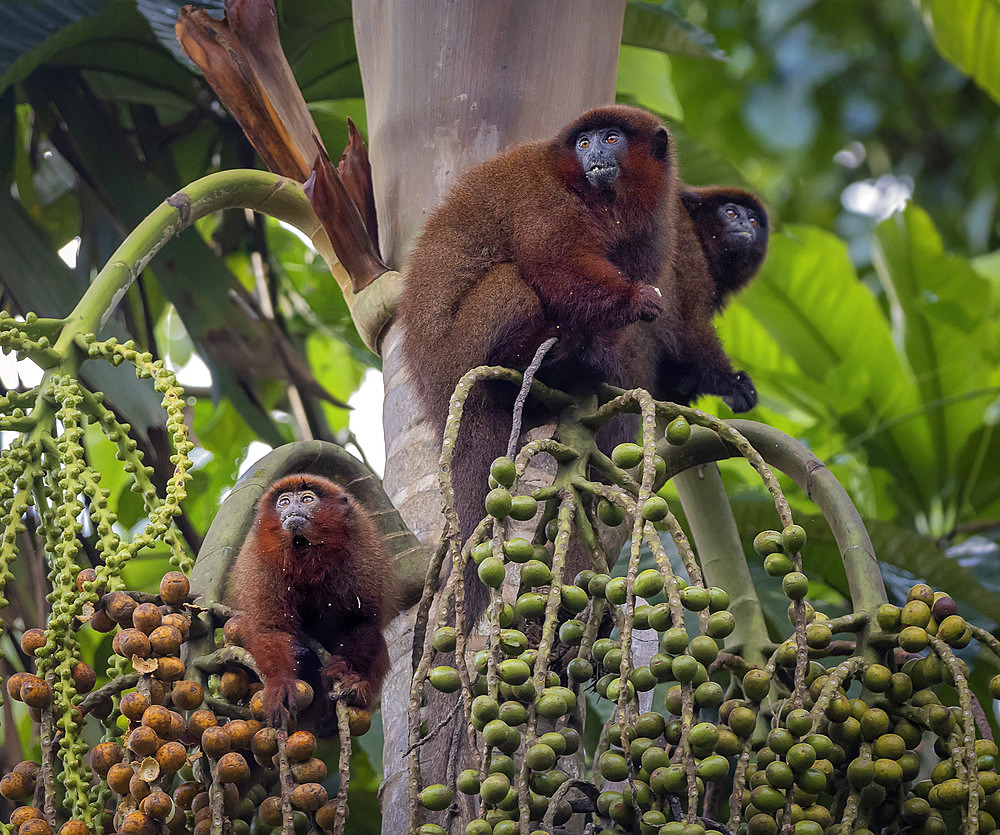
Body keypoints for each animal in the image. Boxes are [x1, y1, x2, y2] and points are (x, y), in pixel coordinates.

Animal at [233, 476, 390, 724]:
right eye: (284, 502)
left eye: (307, 499)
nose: (293, 507)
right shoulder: (258, 557)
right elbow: (270, 627)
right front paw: (281, 682)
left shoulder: (362, 547)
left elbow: (360, 622)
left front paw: (342, 670)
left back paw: (356, 692)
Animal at [398, 106, 680, 560]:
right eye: (583, 143)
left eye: (611, 138)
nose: (595, 153)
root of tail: (436, 388)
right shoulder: (546, 198)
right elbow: (554, 263)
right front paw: (634, 299)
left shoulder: (653, 227)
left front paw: (598, 355)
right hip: (462, 348)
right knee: (513, 280)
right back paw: (525, 358)